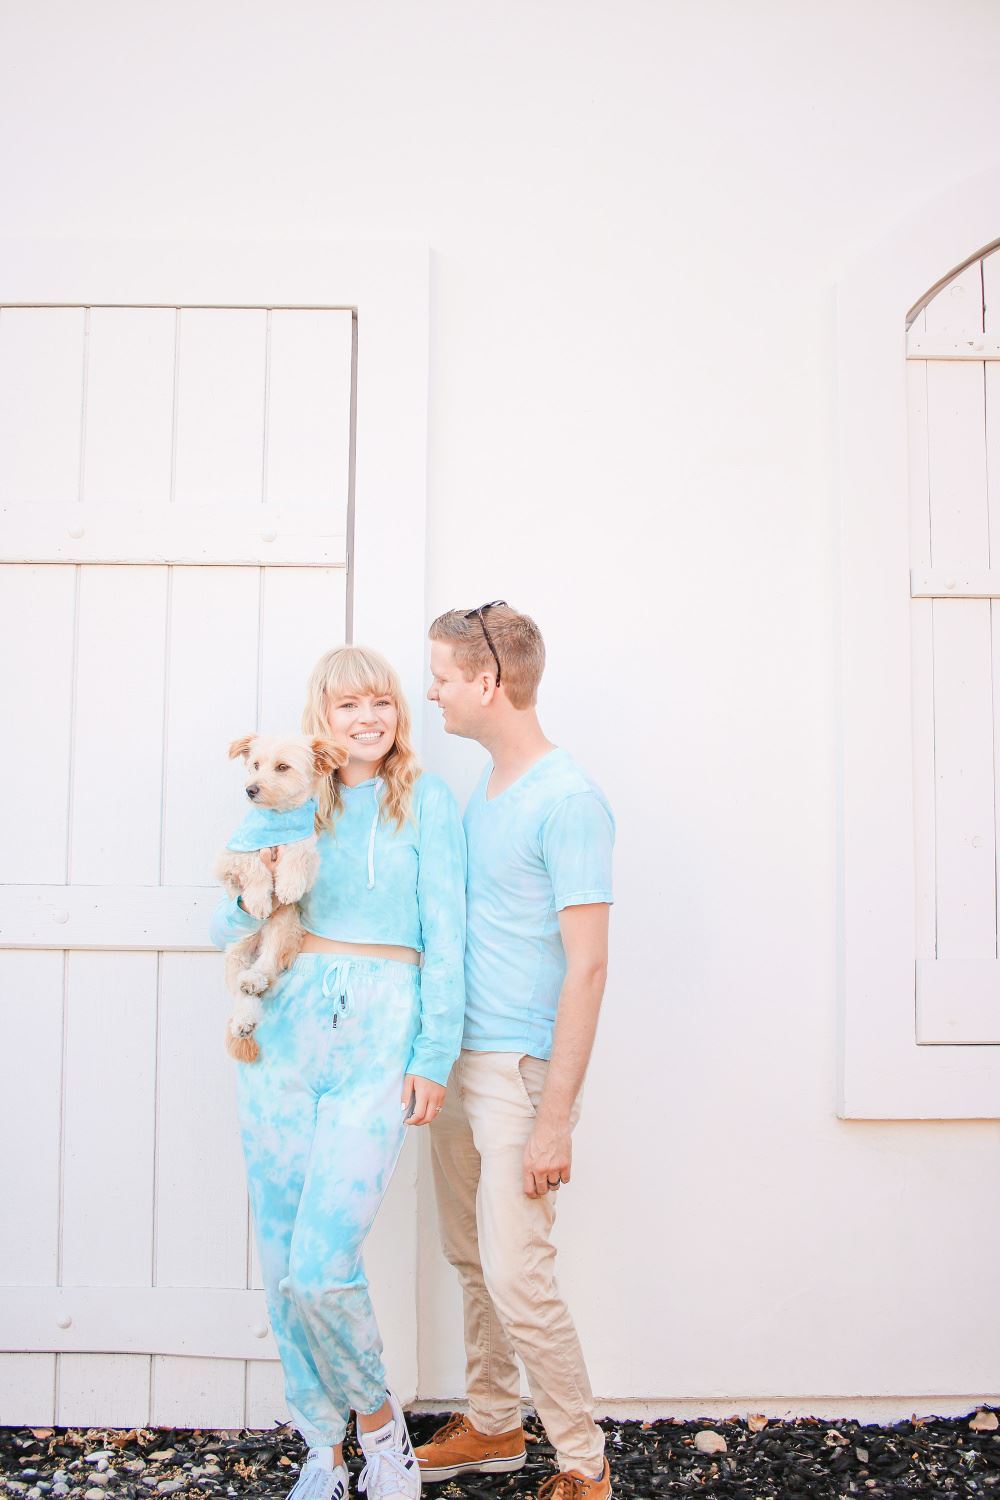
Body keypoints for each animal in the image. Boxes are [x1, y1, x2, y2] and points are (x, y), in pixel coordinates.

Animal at [217, 732, 346, 1062]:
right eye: (255, 765)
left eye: (282, 767)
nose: (250, 789)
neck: (277, 821)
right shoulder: (227, 860)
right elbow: (254, 864)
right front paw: (260, 899)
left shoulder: (310, 853)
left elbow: (297, 851)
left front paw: (287, 884)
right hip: (236, 951)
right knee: (240, 992)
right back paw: (244, 1016)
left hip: (283, 929)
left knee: (268, 968)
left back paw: (254, 980)